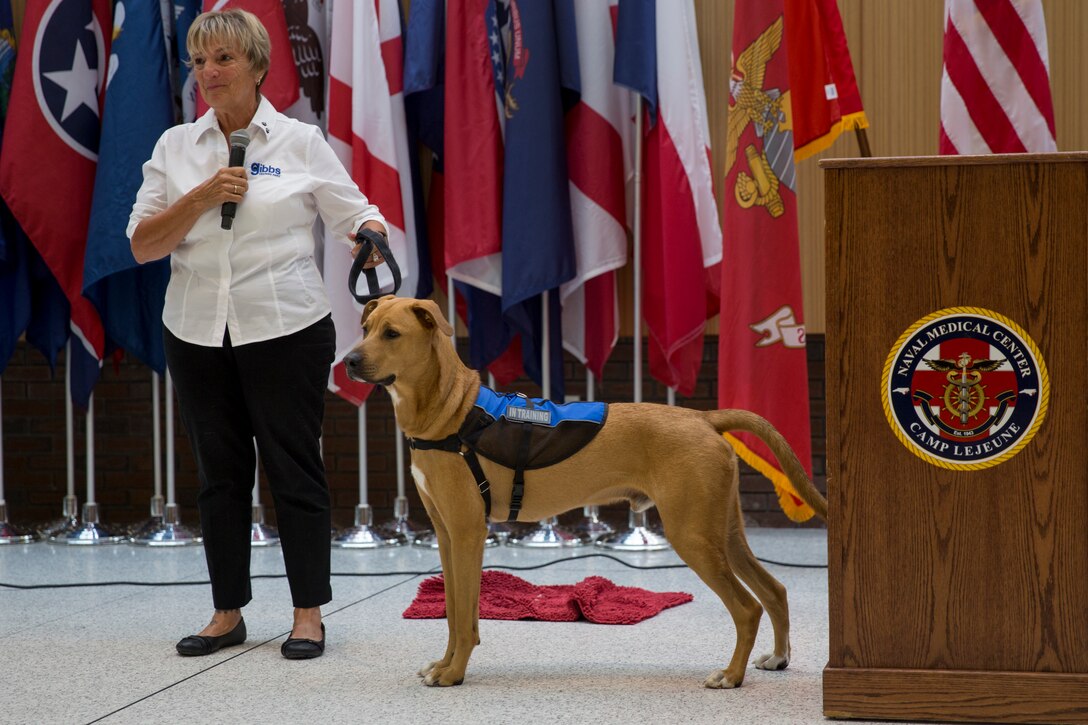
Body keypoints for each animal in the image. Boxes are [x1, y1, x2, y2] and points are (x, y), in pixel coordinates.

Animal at [345, 291, 822, 683]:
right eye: (366, 329)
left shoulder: (467, 533)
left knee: (747, 607)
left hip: (693, 535)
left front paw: (454, 674)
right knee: (774, 590)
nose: (347, 361)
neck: (452, 411)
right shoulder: (445, 536)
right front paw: (444, 665)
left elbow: (464, 619)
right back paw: (778, 657)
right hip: (723, 531)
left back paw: (731, 675)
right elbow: (454, 614)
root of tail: (704, 418)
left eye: (392, 334)